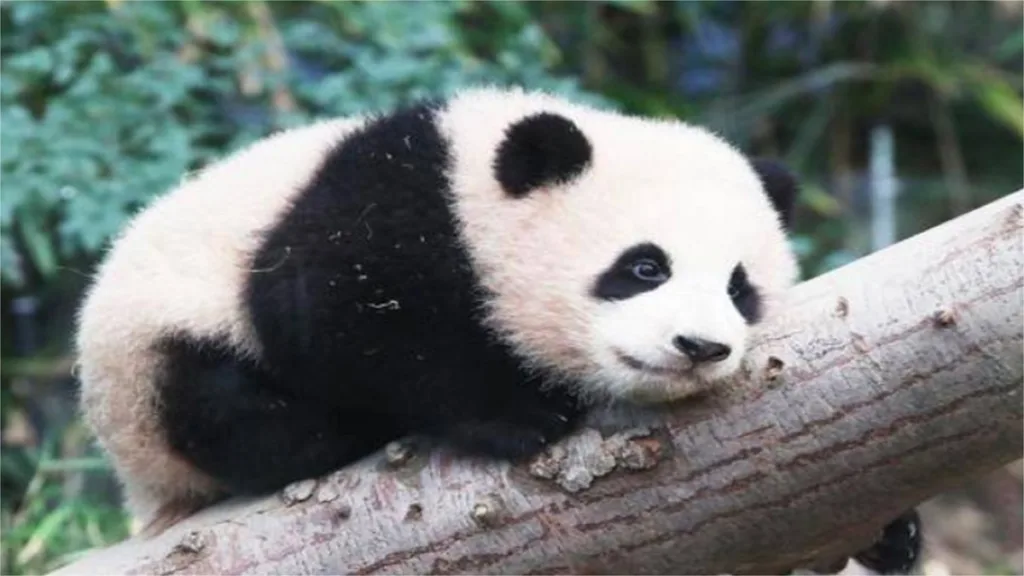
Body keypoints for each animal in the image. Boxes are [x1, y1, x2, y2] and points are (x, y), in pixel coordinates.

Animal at [75, 86, 919, 573]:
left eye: (741, 290)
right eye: (645, 267)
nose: (700, 347)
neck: (472, 178)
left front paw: (890, 533)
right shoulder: (384, 211)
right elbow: (339, 322)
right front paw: (521, 413)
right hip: (148, 362)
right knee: (229, 408)